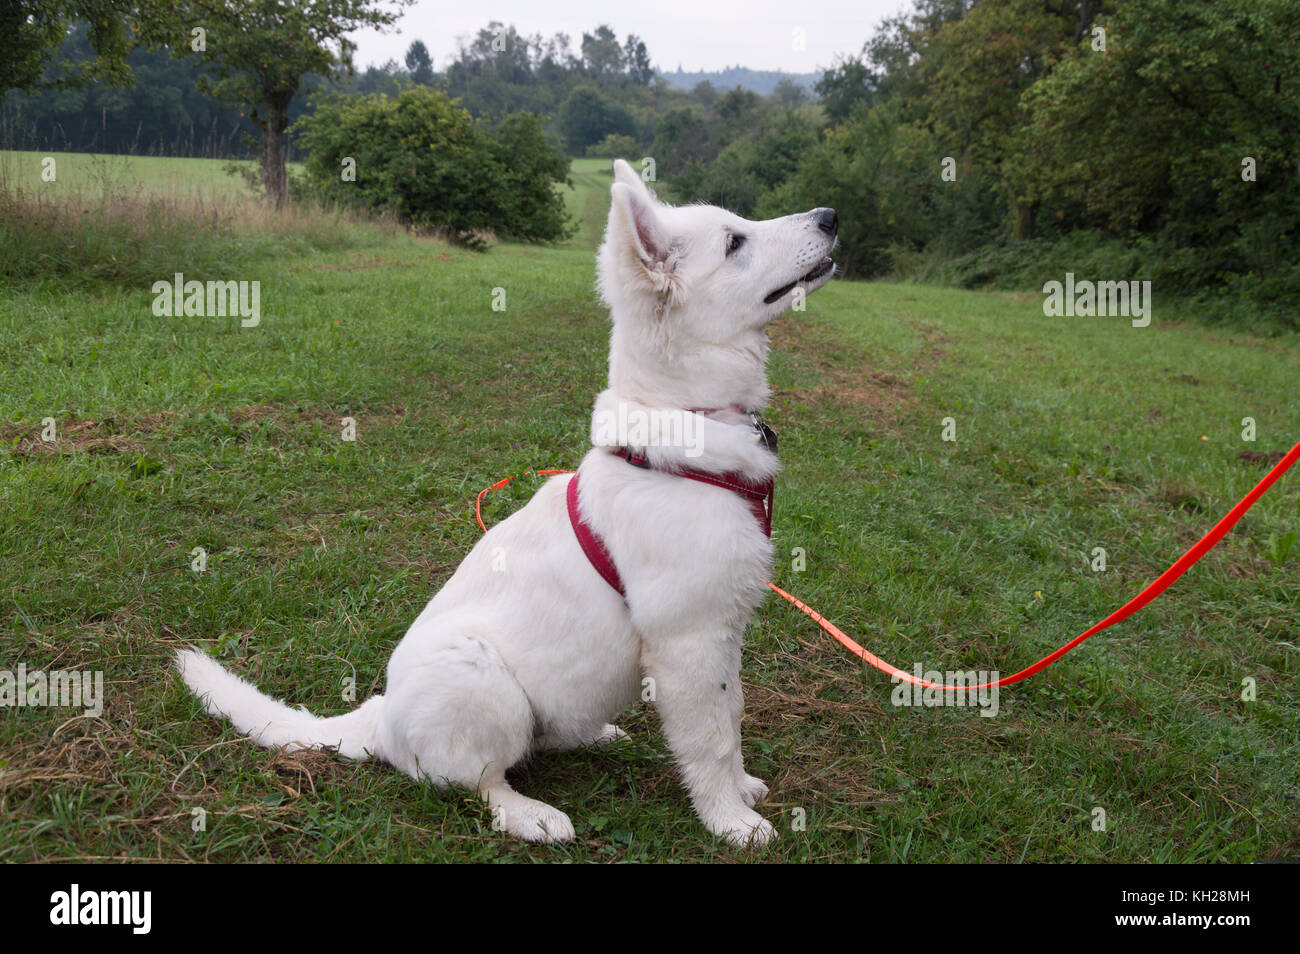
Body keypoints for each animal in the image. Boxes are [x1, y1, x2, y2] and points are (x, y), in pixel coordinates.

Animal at [178, 160, 837, 847]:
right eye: (735, 242)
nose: (831, 217)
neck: (684, 415)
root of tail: (378, 719)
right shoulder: (690, 639)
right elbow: (711, 739)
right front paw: (731, 820)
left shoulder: (724, 633)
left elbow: (731, 716)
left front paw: (741, 792)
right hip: (483, 680)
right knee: (477, 784)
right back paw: (532, 815)